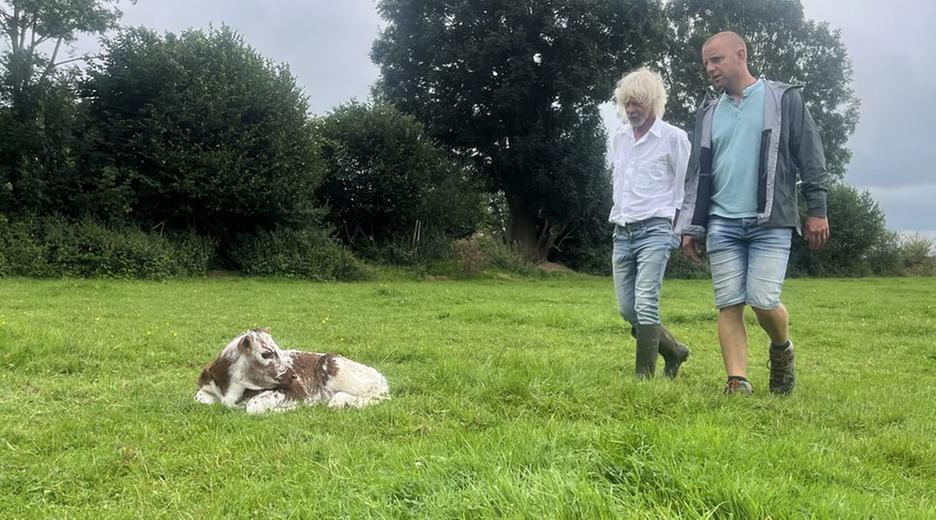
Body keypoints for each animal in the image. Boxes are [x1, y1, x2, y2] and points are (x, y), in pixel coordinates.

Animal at [196, 330, 390, 414]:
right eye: (266, 353)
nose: (294, 375)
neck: (231, 392)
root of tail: (380, 376)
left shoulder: (296, 390)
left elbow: (254, 406)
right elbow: (200, 399)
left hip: (330, 364)